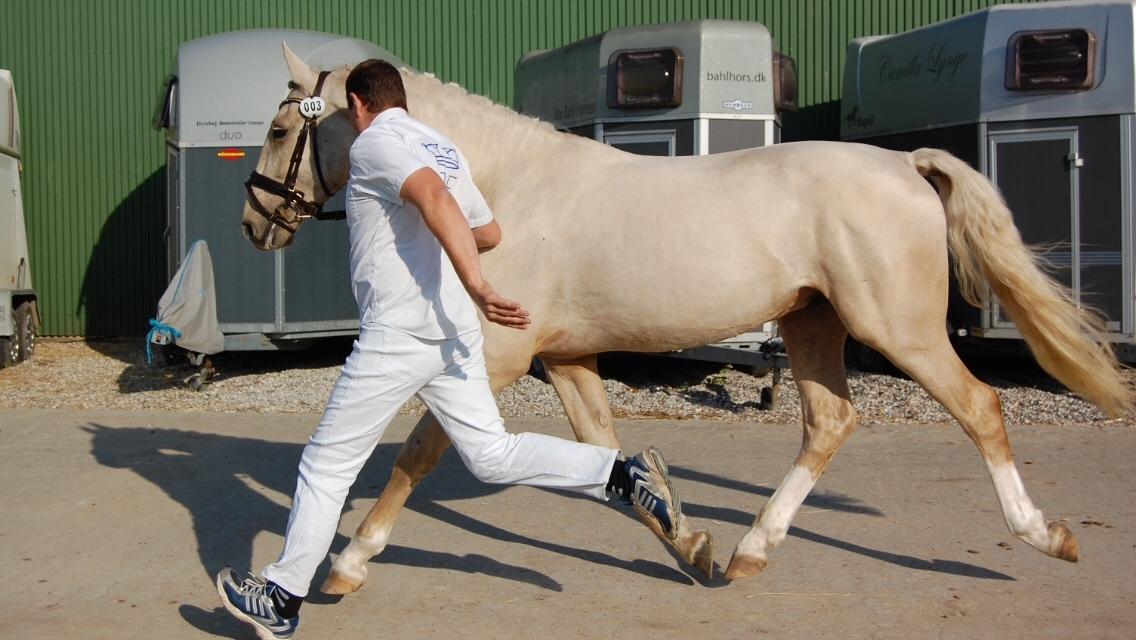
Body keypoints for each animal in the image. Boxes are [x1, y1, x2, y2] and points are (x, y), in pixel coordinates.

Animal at [239, 46, 1126, 591]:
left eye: (281, 128)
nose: (254, 223)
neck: (501, 187)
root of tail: (908, 164)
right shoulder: (566, 360)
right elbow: (604, 449)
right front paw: (691, 543)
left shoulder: (497, 354)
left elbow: (421, 451)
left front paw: (351, 561)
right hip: (812, 326)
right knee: (830, 423)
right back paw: (749, 550)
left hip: (898, 331)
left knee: (979, 407)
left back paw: (1045, 535)